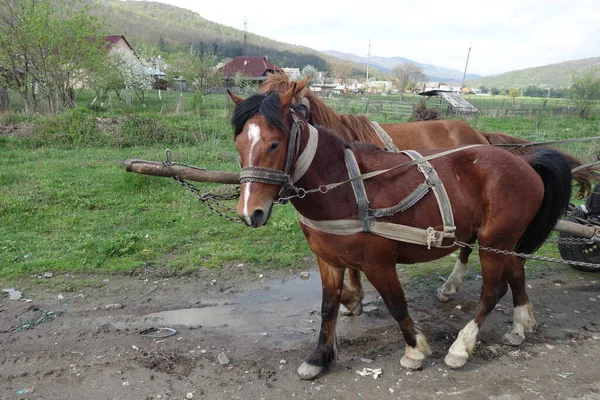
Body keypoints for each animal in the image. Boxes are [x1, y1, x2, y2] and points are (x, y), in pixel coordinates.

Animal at [231, 87, 572, 378]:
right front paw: (318, 357)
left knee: (492, 290)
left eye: (275, 143)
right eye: (238, 145)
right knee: (516, 274)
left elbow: (396, 304)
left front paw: (414, 350)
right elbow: (328, 306)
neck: (346, 185)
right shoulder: (328, 260)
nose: (251, 212)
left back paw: (461, 347)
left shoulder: (378, 263)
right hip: (504, 241)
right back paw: (519, 326)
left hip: (493, 242)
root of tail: (523, 161)